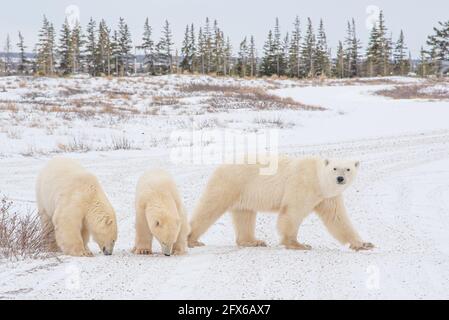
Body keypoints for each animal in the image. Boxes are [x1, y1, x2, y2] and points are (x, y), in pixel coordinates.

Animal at [187, 156, 372, 251]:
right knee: (210, 207)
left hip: (244, 193)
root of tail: (220, 166)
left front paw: (363, 244)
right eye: (334, 168)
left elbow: (337, 219)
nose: (340, 178)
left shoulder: (328, 197)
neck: (318, 179)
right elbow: (292, 212)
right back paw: (192, 240)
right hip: (230, 183)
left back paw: (253, 241)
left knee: (245, 215)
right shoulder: (302, 184)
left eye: (348, 169)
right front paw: (298, 244)